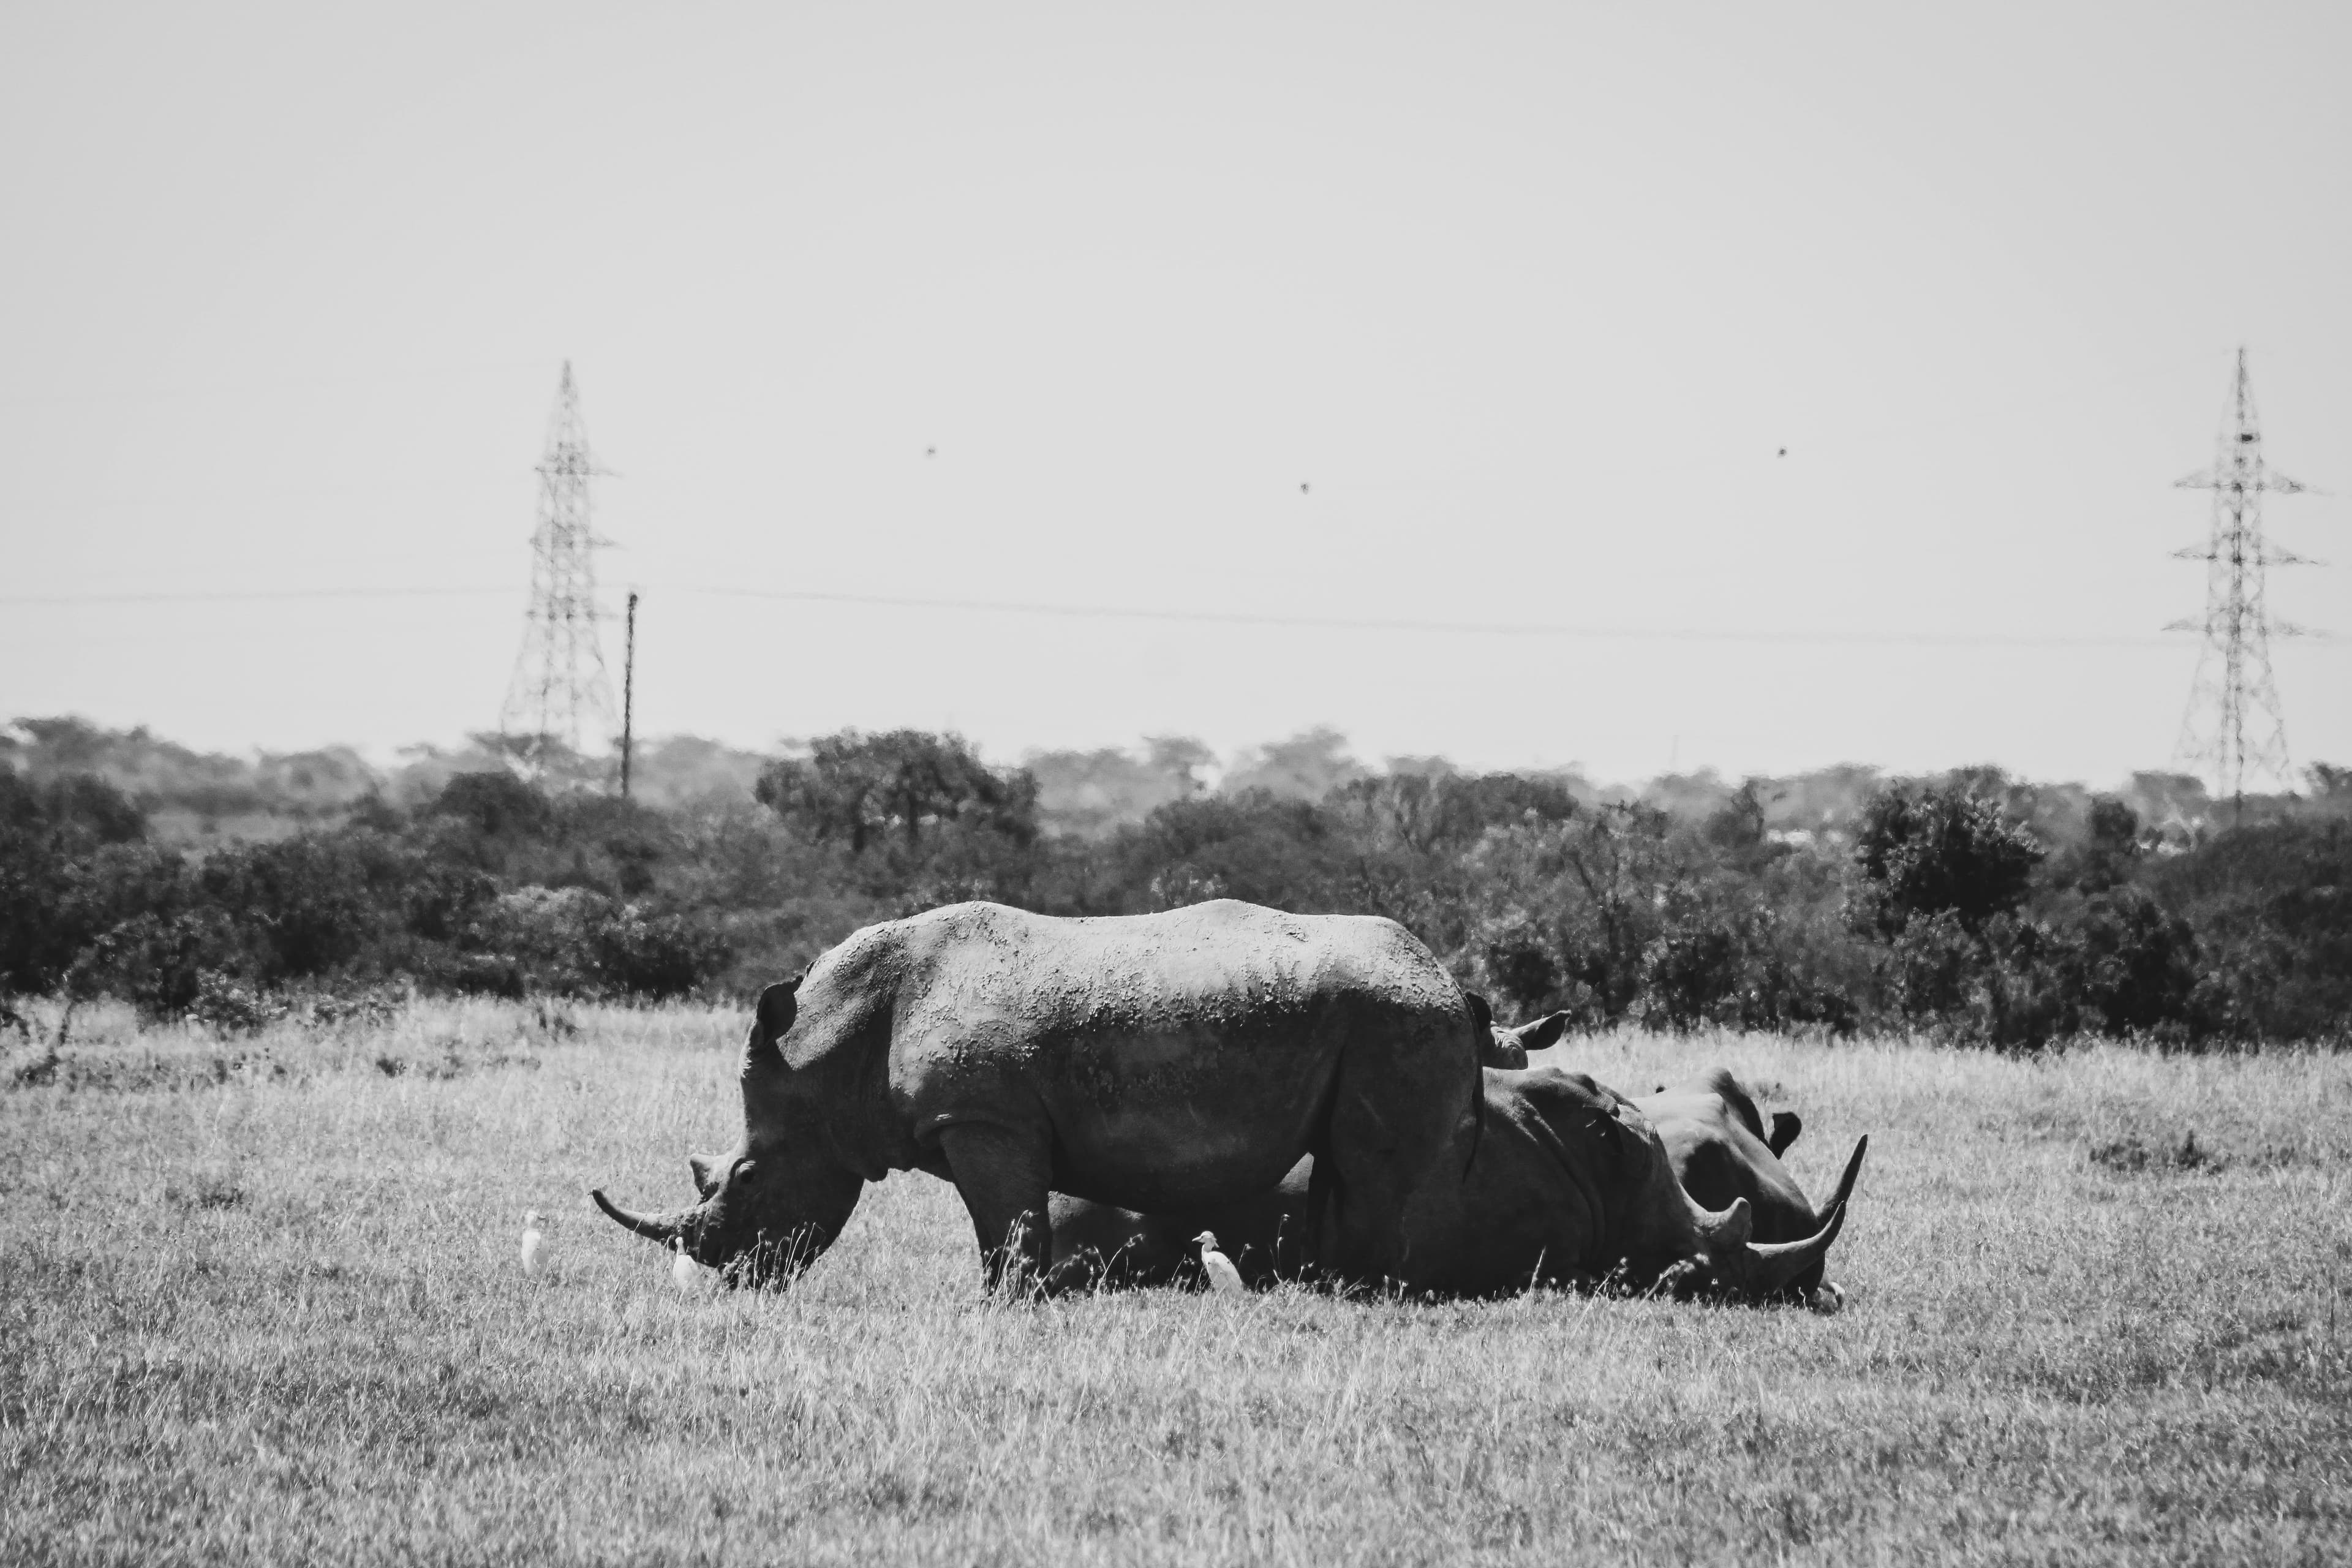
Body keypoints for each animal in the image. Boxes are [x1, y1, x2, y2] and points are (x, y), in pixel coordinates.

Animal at [591, 900, 1483, 1291]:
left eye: (745, 1179)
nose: (730, 1277)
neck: (831, 1051)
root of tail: (1446, 976)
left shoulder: (984, 1120)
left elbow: (1008, 1230)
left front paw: (1003, 1309)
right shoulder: (984, 1122)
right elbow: (1005, 1231)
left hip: (1396, 1020)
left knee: (1368, 1176)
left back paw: (1361, 1296)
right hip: (1375, 1021)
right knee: (1341, 1171)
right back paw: (1333, 1293)